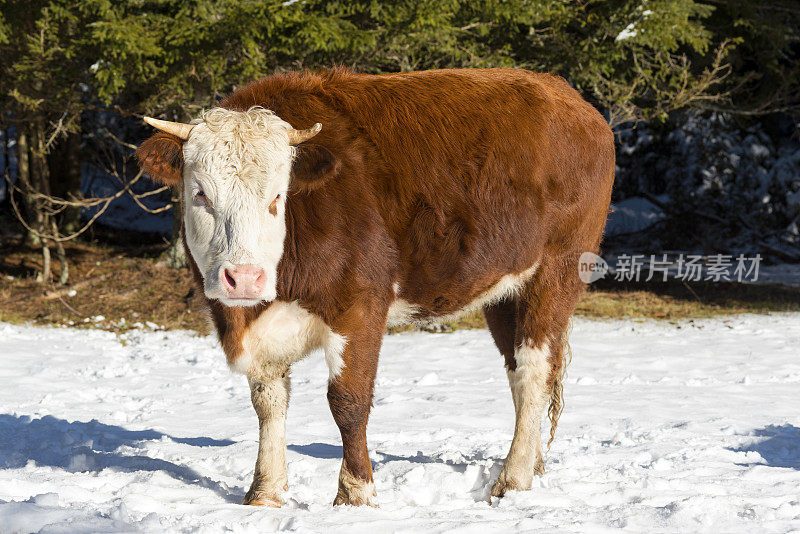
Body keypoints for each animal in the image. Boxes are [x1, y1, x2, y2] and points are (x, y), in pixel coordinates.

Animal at [136, 68, 612, 510]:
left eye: (277, 197)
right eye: (200, 193)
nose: (244, 277)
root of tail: (567, 97)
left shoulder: (361, 304)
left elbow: (348, 401)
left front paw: (355, 495)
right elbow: (268, 402)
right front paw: (264, 494)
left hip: (555, 272)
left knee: (533, 370)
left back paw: (512, 480)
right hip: (505, 291)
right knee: (520, 370)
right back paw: (532, 465)